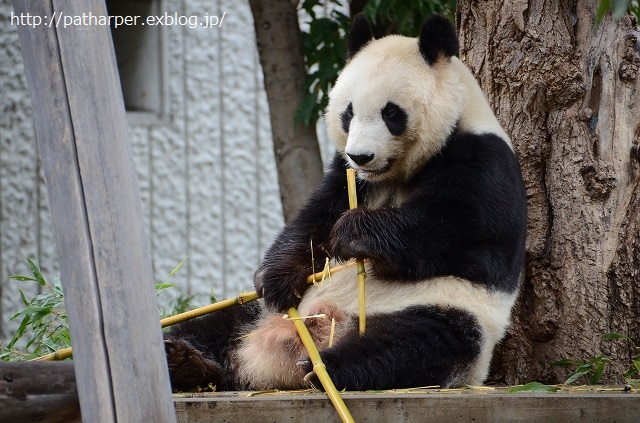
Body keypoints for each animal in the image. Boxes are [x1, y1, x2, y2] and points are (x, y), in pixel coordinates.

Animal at [164, 12, 524, 390]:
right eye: (348, 112)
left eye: (391, 113)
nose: (361, 155)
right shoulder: (346, 175)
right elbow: (314, 218)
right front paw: (276, 276)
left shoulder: (484, 163)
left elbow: (461, 236)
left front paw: (356, 233)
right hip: (256, 312)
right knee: (219, 324)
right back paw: (186, 361)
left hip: (450, 310)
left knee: (420, 343)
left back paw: (328, 367)